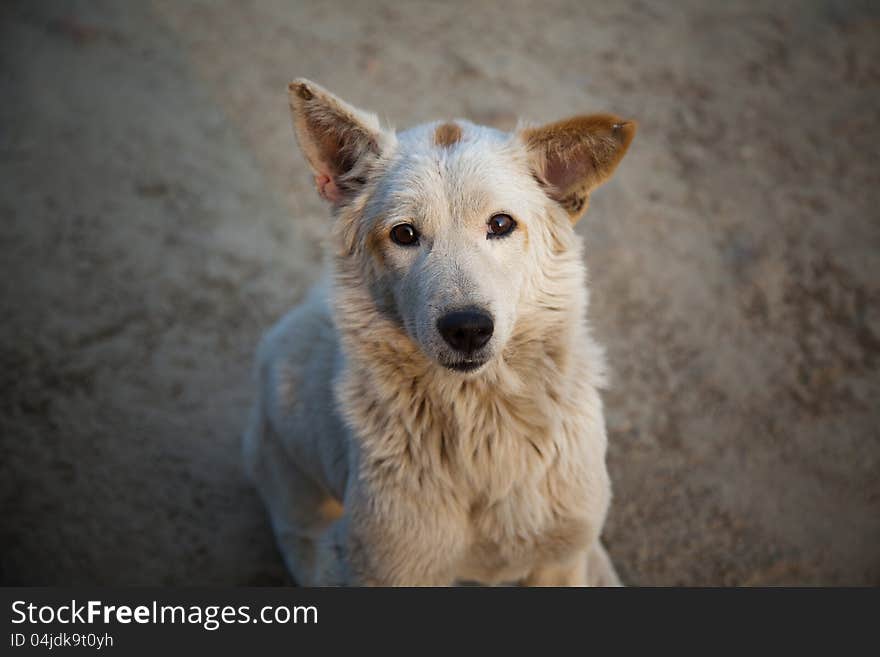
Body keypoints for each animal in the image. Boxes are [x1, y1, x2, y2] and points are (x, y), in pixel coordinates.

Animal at [244, 78, 636, 584]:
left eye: (501, 224)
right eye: (404, 234)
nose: (467, 329)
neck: (480, 429)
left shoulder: (557, 563)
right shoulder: (391, 568)